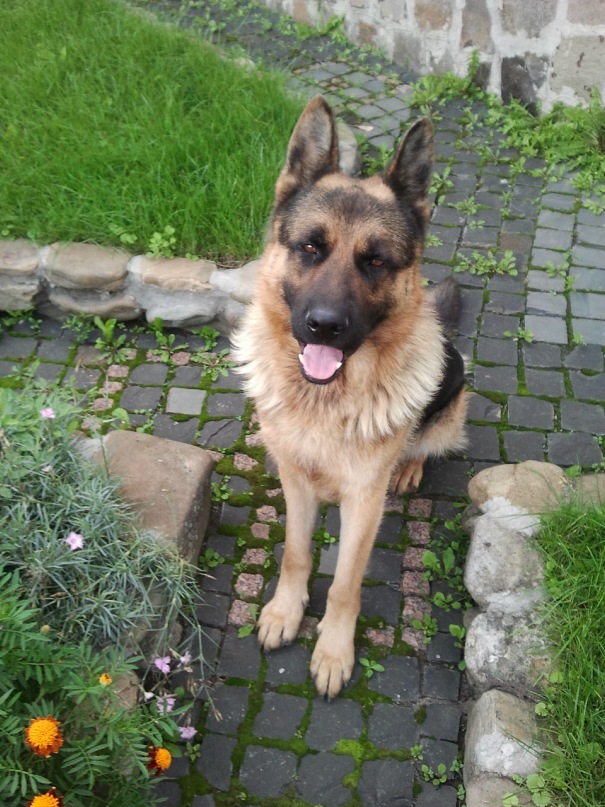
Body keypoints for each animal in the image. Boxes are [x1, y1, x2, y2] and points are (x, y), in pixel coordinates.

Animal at [232, 95, 467, 698]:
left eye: (375, 261)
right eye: (311, 248)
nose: (323, 326)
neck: (325, 401)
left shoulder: (364, 502)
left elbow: (344, 584)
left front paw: (334, 651)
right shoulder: (294, 480)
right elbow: (295, 554)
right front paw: (285, 612)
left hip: (453, 395)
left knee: (428, 441)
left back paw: (412, 465)